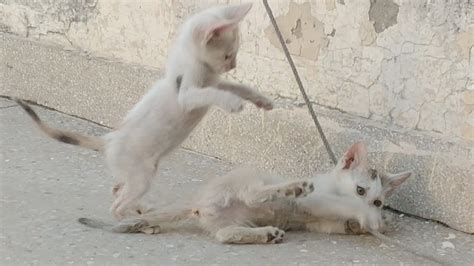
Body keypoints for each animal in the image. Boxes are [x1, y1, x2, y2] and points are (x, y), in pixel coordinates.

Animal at [15, 3, 274, 219]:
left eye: (236, 54)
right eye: (228, 54)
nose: (233, 66)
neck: (195, 64)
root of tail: (109, 140)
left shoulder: (215, 82)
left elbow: (237, 87)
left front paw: (261, 100)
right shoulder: (188, 95)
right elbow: (213, 94)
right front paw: (233, 104)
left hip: (136, 175)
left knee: (117, 189)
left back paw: (135, 209)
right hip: (142, 178)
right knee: (116, 204)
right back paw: (127, 219)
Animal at [79, 142, 412, 244]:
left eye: (378, 199)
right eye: (359, 189)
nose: (372, 206)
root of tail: (199, 203)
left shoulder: (316, 220)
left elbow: (333, 223)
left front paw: (360, 224)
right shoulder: (317, 199)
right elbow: (336, 204)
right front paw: (366, 218)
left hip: (232, 221)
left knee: (224, 235)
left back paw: (265, 234)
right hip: (249, 178)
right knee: (254, 195)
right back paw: (291, 187)